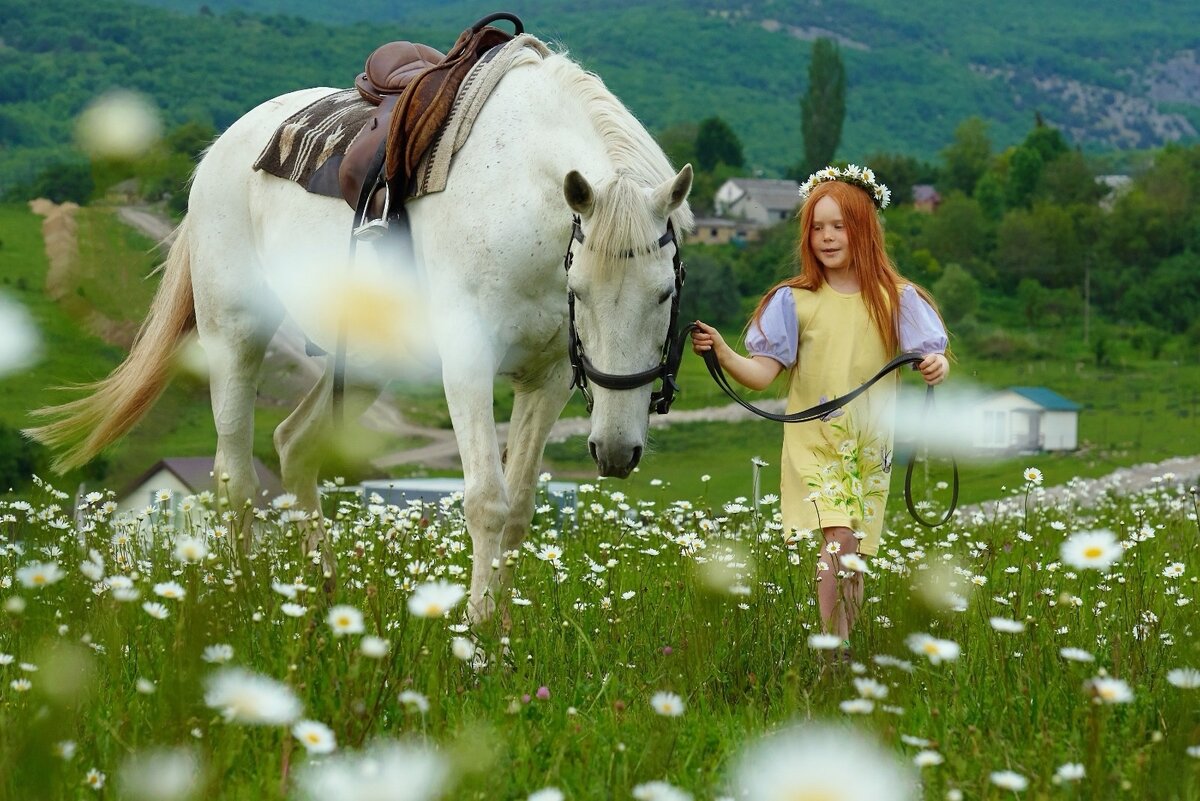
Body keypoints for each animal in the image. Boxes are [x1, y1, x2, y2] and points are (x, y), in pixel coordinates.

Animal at [28, 43, 696, 618]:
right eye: (579, 291)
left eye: (665, 294)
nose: (616, 451)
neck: (518, 201)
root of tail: (221, 151)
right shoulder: (469, 366)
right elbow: (486, 500)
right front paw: (479, 643)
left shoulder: (549, 378)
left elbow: (519, 509)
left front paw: (503, 630)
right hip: (233, 336)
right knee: (235, 478)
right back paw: (249, 604)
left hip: (369, 360)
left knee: (294, 445)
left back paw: (319, 595)